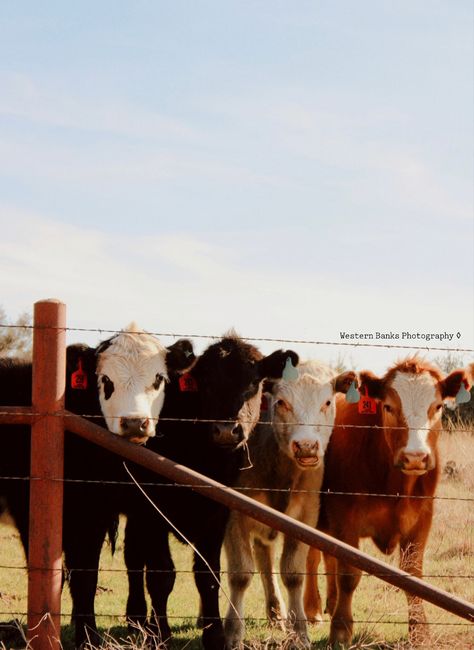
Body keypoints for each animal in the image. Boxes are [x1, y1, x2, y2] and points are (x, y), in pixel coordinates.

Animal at [0, 322, 193, 644]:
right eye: (105, 380)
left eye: (158, 378)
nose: (135, 422)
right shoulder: (66, 514)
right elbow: (80, 576)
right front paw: (87, 637)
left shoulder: (144, 510)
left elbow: (158, 572)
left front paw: (160, 636)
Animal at [123, 334, 300, 648]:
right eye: (205, 383)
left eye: (253, 382)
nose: (226, 431)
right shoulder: (153, 511)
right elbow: (161, 575)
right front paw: (161, 634)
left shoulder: (217, 515)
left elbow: (208, 575)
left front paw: (215, 634)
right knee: (133, 557)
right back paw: (137, 620)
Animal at [224, 360, 358, 648]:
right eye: (281, 403)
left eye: (327, 402)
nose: (306, 446)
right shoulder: (233, 513)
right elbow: (240, 575)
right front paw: (232, 634)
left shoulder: (305, 515)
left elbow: (293, 574)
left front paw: (299, 633)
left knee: (264, 557)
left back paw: (276, 613)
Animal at [304, 356, 470, 644]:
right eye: (389, 407)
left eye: (437, 406)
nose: (415, 457)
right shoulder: (346, 520)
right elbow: (349, 574)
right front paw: (341, 629)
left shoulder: (421, 521)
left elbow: (413, 575)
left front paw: (420, 631)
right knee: (311, 555)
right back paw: (312, 610)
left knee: (327, 555)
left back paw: (331, 602)